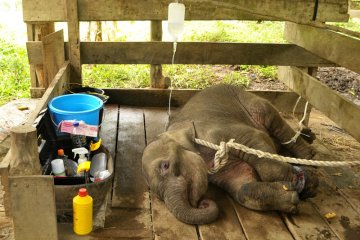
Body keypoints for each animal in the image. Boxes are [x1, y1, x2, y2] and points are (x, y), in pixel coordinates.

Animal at [142, 83, 320, 224]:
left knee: (273, 121)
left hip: (252, 101)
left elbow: (257, 143)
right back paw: (308, 137)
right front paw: (292, 197)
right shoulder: (221, 172)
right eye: (158, 196)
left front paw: (307, 184)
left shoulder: (217, 131)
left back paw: (309, 156)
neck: (174, 129)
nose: (203, 203)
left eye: (165, 165)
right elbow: (242, 186)